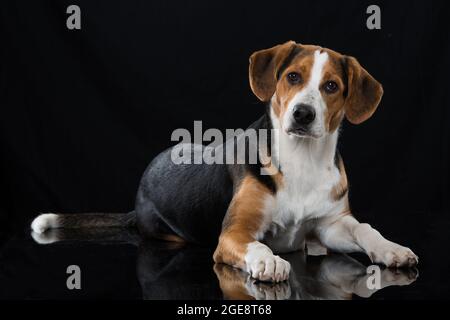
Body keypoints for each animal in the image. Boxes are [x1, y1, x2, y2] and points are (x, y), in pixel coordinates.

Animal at [30, 40, 418, 282]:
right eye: (293, 77)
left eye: (332, 86)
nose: (303, 114)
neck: (302, 158)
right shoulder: (234, 233)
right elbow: (255, 243)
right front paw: (267, 261)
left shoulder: (331, 224)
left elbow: (365, 228)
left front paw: (392, 249)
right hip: (168, 233)